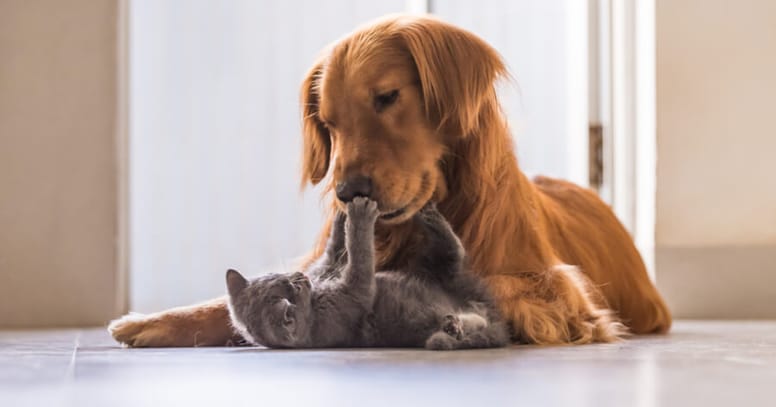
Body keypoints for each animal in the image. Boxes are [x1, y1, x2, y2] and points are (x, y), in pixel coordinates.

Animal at [226, 198, 510, 350]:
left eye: (281, 279)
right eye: (292, 291)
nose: (299, 278)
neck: (315, 304)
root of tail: (494, 315)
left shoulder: (326, 269)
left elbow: (333, 251)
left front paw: (340, 214)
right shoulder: (351, 297)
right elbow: (360, 257)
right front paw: (359, 214)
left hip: (445, 275)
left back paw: (428, 214)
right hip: (447, 278)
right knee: (455, 256)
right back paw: (453, 325)